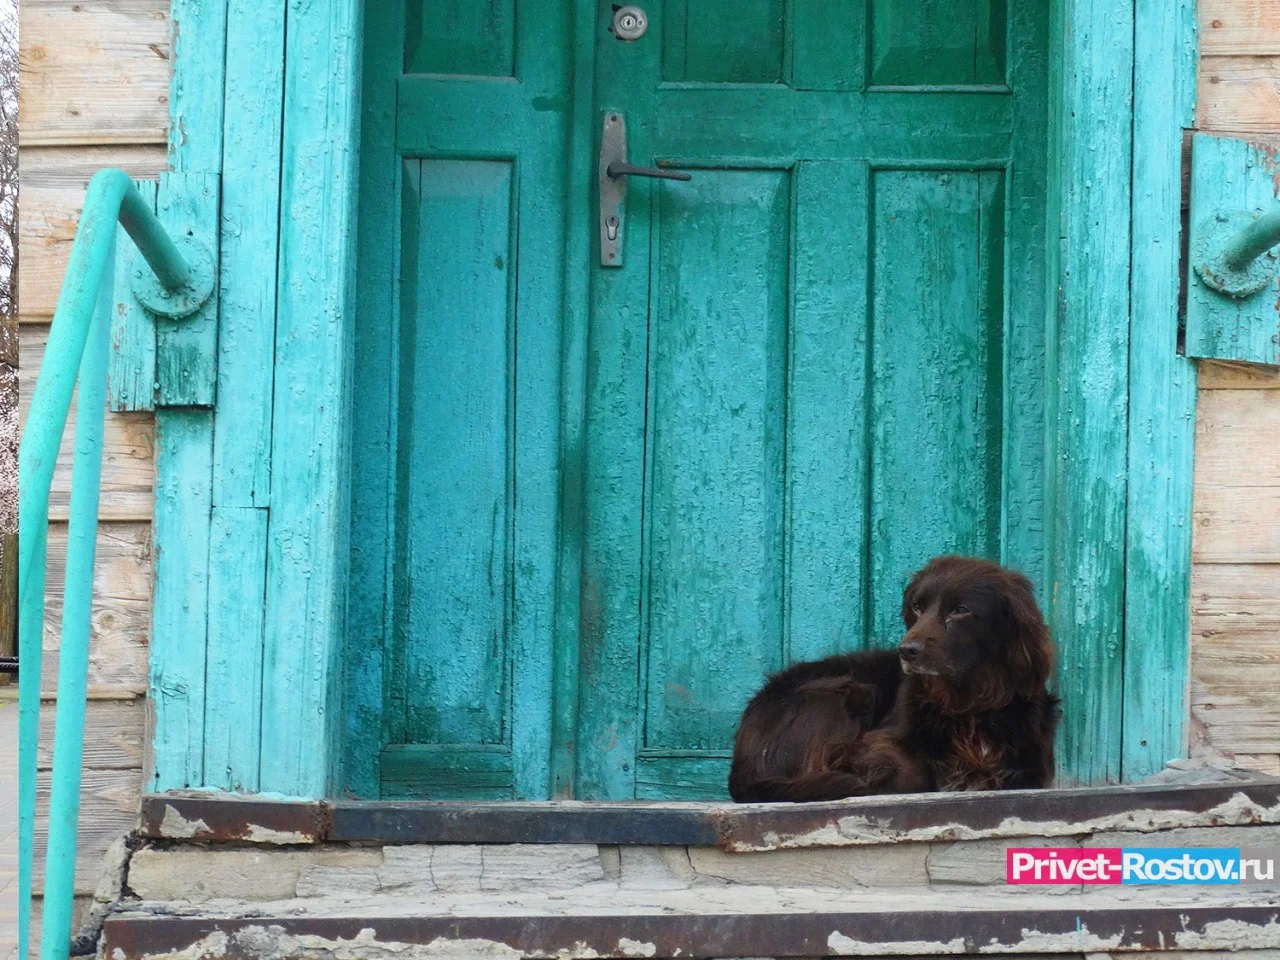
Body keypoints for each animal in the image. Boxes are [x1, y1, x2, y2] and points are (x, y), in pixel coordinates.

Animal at [732, 555, 1059, 803]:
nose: (907, 651)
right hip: (847, 692)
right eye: (917, 606)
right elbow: (916, 773)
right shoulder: (878, 742)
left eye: (961, 610)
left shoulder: (1034, 765)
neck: (967, 703)